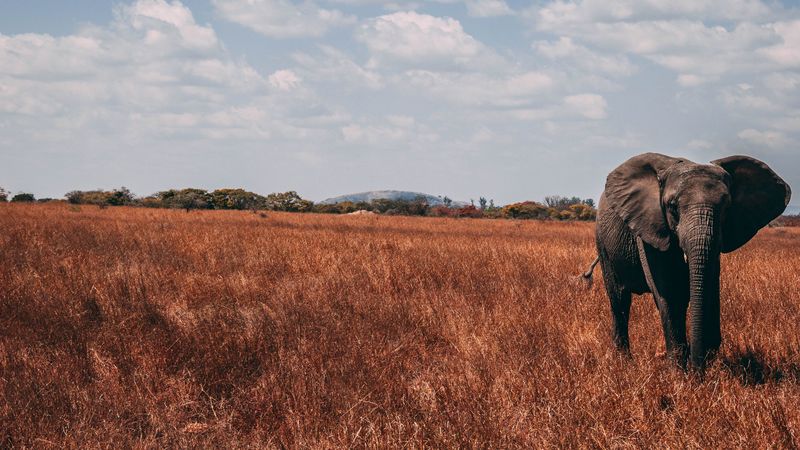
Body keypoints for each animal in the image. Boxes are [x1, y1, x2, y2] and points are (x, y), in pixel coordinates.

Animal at [584, 153, 791, 369]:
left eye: (726, 207)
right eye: (672, 207)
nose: (697, 367)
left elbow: (710, 287)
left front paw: (707, 361)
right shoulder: (650, 226)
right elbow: (669, 290)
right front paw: (679, 370)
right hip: (603, 242)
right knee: (619, 299)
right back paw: (623, 361)